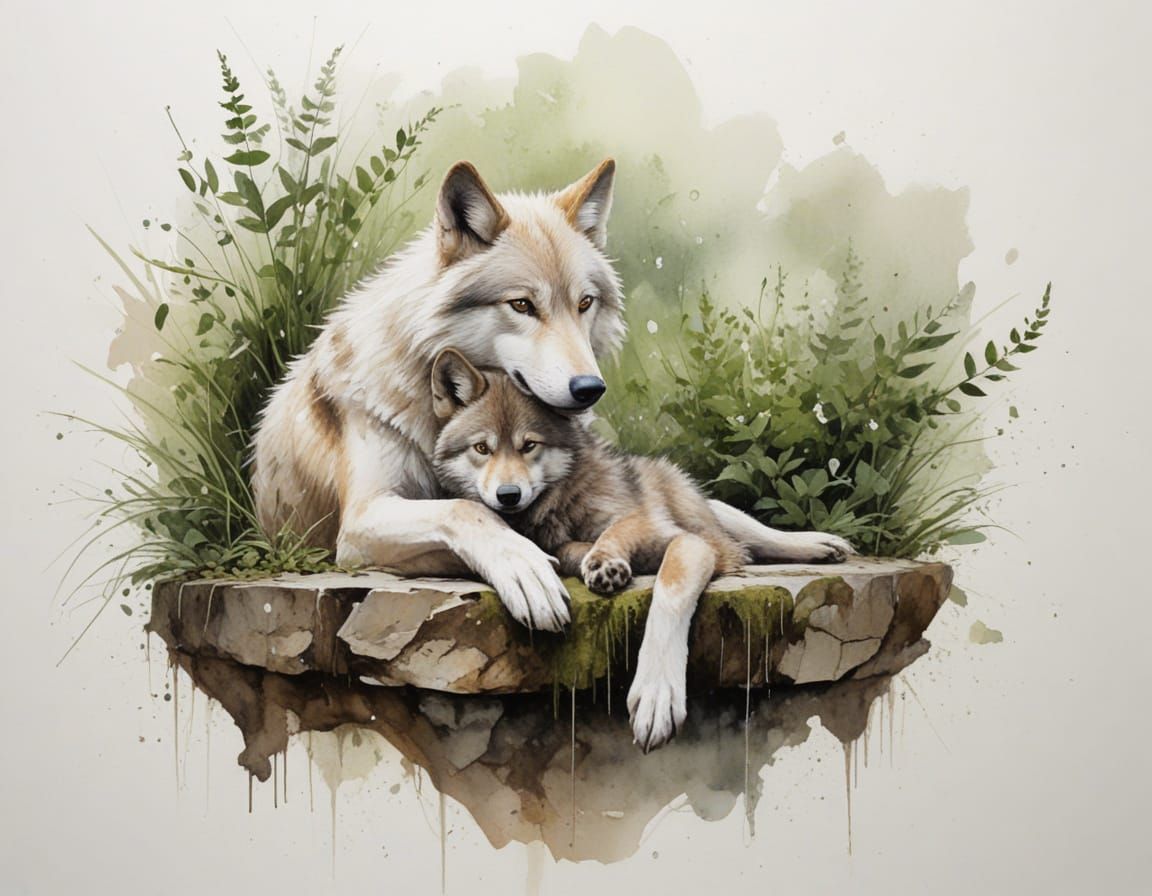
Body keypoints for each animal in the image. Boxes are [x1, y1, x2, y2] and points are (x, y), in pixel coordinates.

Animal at [251, 159, 850, 639]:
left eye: (584, 303)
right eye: (522, 305)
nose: (590, 389)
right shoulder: (358, 524)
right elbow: (467, 510)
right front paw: (527, 567)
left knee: (724, 518)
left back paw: (816, 543)